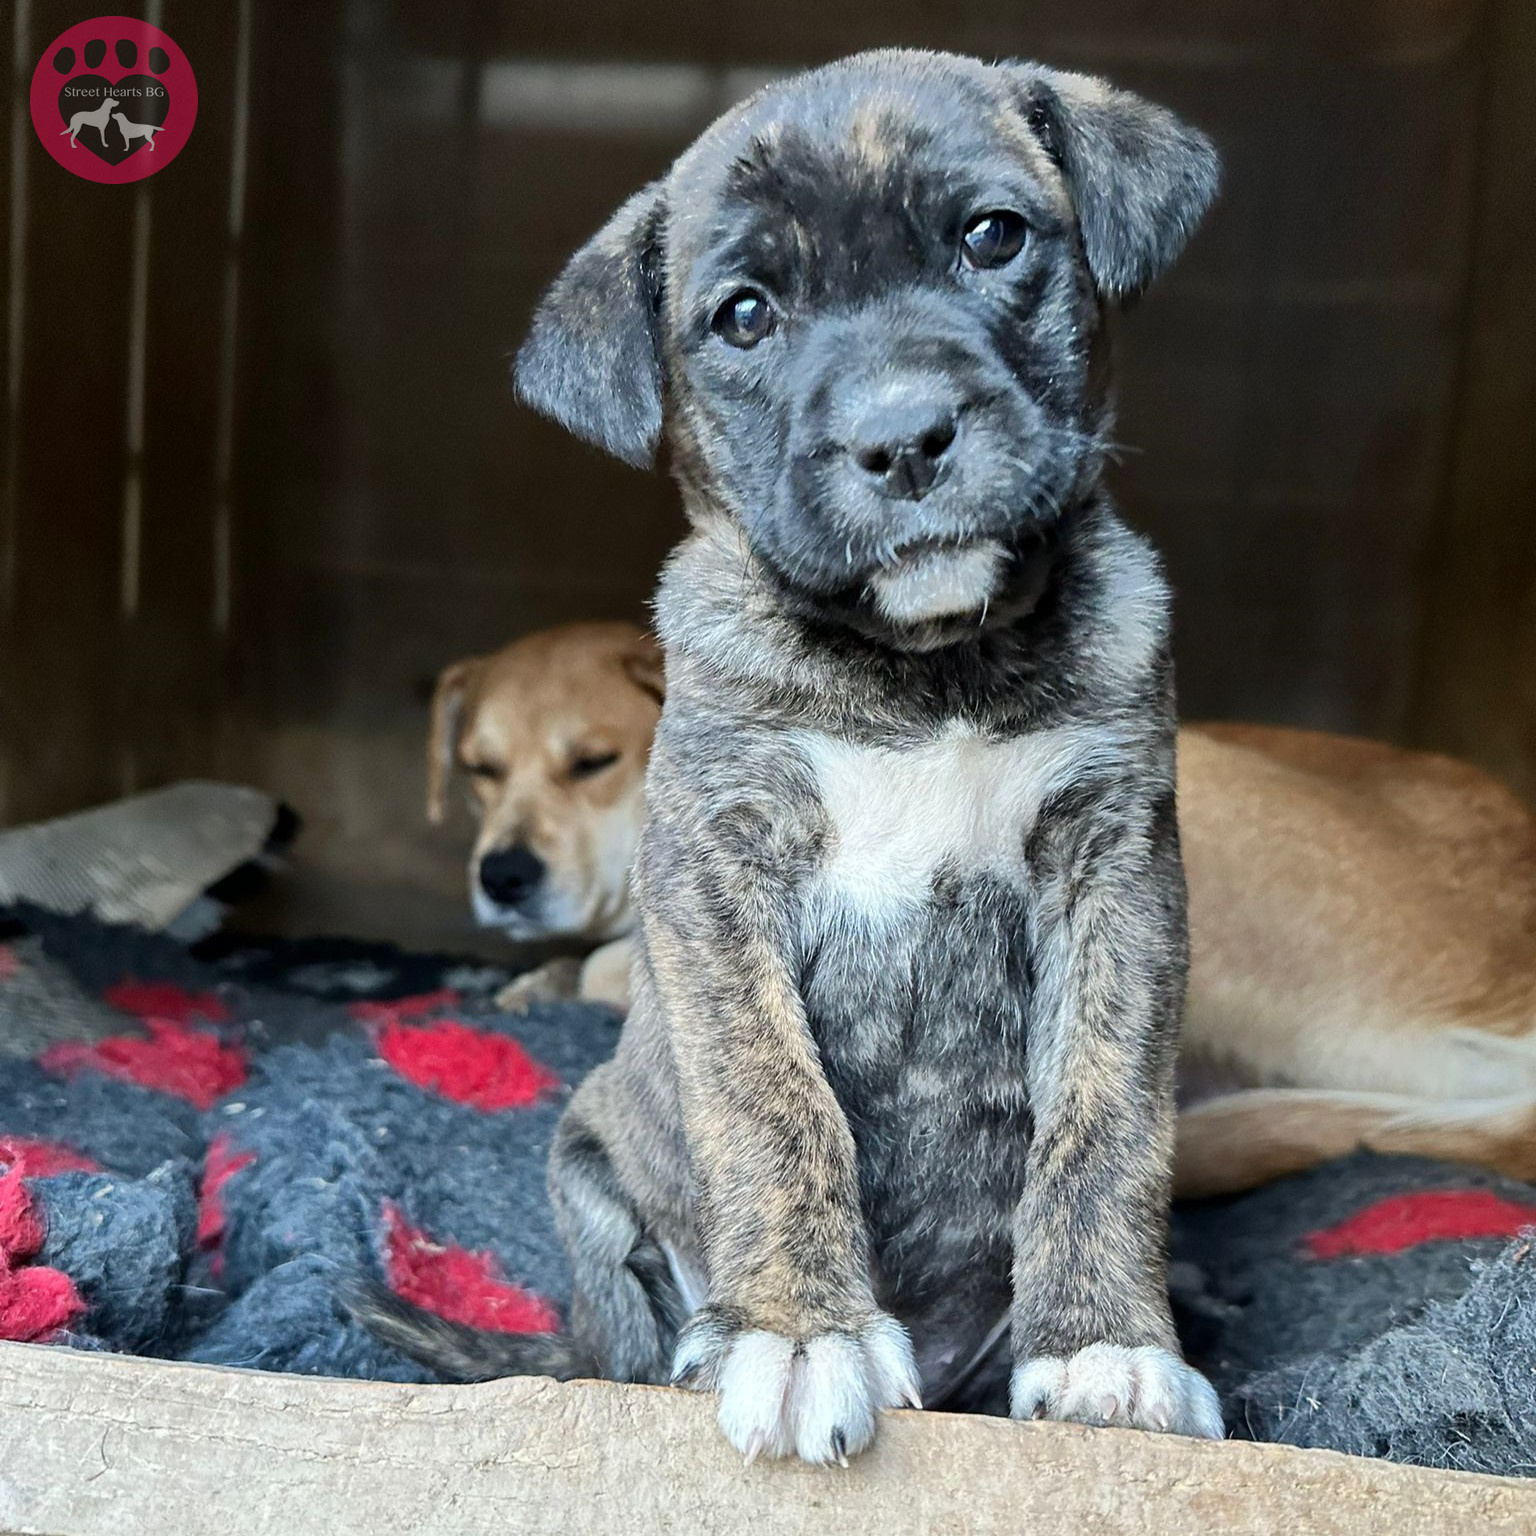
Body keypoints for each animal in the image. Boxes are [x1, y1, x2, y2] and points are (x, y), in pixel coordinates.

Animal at [356, 44, 1222, 1462]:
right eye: (746, 317)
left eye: (993, 236)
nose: (905, 439)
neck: (926, 667)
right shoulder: (717, 869)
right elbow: (772, 1102)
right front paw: (800, 1334)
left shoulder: (1119, 868)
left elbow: (1107, 1118)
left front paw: (1106, 1347)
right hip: (585, 1167)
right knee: (621, 1339)